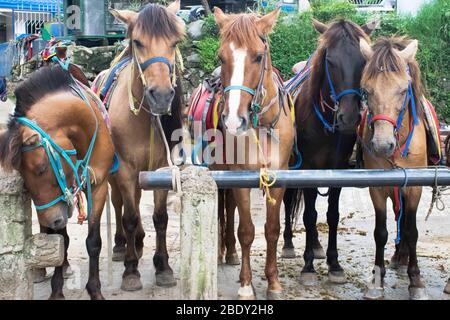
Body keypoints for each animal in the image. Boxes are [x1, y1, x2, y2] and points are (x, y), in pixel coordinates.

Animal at [0, 65, 114, 300]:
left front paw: (95, 289)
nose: (54, 220)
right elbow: (62, 243)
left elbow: (93, 242)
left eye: (42, 168)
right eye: (22, 176)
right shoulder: (58, 205)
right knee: (48, 232)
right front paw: (57, 290)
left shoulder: (98, 186)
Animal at [103, 1, 185, 292]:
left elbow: (160, 218)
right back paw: (121, 245)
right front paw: (131, 271)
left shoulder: (162, 168)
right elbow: (128, 216)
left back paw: (137, 242)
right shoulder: (125, 170)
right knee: (120, 204)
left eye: (174, 42)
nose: (161, 95)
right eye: (138, 42)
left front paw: (163, 267)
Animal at [214, 7, 296, 300]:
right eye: (221, 57)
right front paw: (246, 285)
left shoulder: (279, 179)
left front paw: (273, 282)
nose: (233, 121)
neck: (262, 127)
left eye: (258, 56)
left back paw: (230, 253)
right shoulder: (240, 179)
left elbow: (272, 230)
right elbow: (247, 231)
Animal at [284, 19, 374, 284]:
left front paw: (334, 264)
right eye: (330, 61)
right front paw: (308, 267)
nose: (349, 118)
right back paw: (288, 245)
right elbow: (309, 215)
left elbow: (331, 214)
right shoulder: (306, 168)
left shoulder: (338, 168)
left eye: (363, 61)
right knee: (289, 201)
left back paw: (315, 246)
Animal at [358, 37, 428, 300]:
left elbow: (412, 231)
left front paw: (416, 281)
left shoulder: (414, 188)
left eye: (403, 90)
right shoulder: (377, 189)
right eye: (366, 90)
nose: (381, 144)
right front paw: (377, 280)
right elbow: (380, 232)